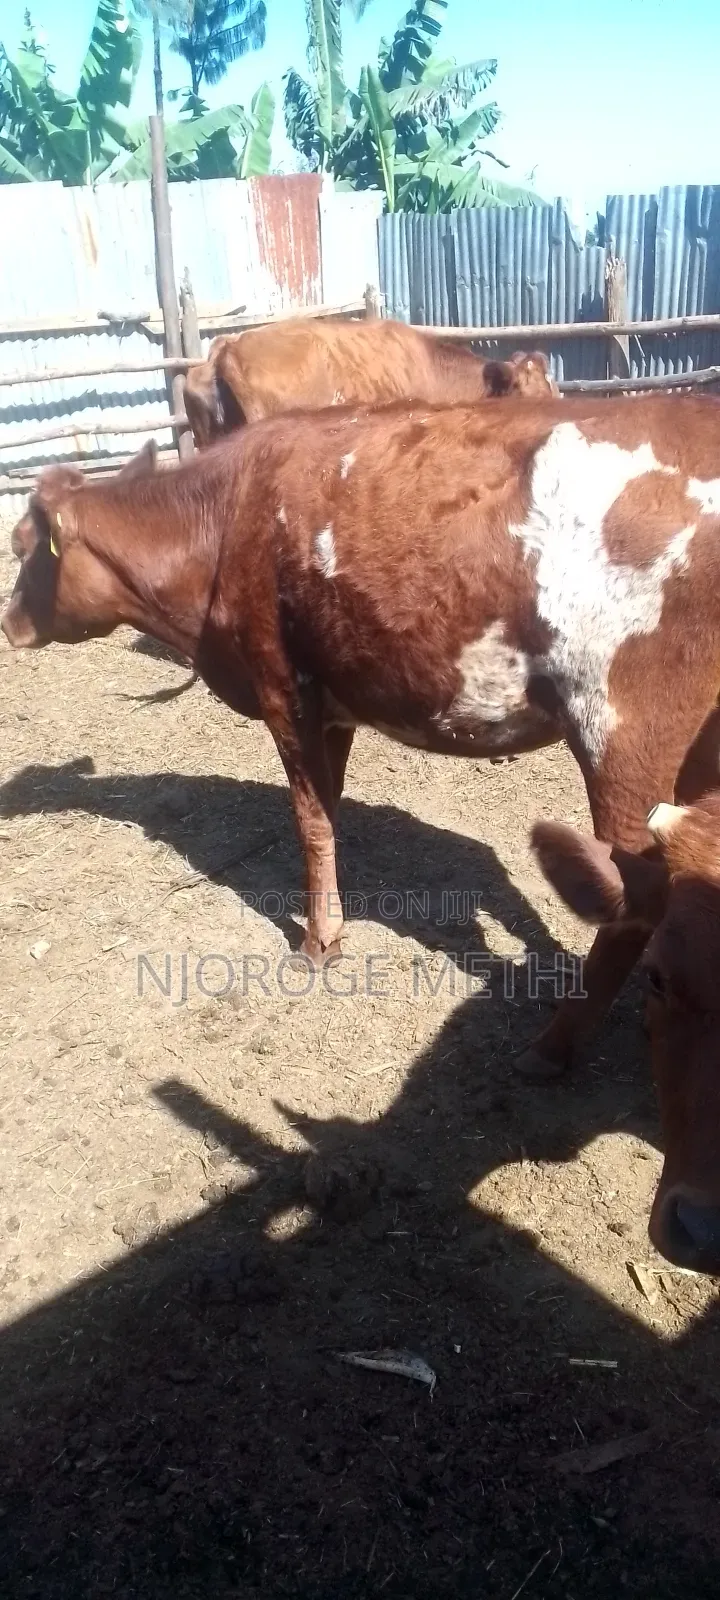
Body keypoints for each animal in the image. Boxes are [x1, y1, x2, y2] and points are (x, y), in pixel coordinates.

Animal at [4, 393, 720, 1085]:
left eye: (20, 545)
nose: (10, 624)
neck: (224, 521)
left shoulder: (282, 686)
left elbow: (309, 819)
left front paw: (320, 942)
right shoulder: (334, 703)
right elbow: (330, 806)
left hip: (624, 734)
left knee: (641, 898)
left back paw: (552, 1046)